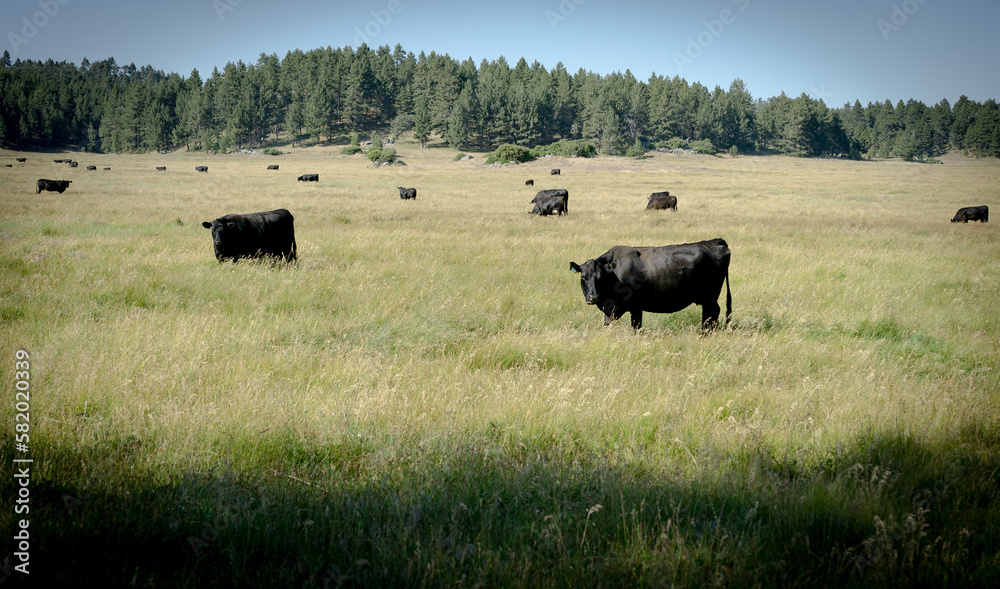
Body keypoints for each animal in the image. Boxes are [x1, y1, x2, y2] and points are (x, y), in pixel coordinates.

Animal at [572, 239, 736, 330]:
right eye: (583, 277)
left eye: (600, 278)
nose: (593, 297)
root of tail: (715, 241)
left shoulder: (635, 306)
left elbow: (636, 327)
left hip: (710, 297)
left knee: (712, 313)